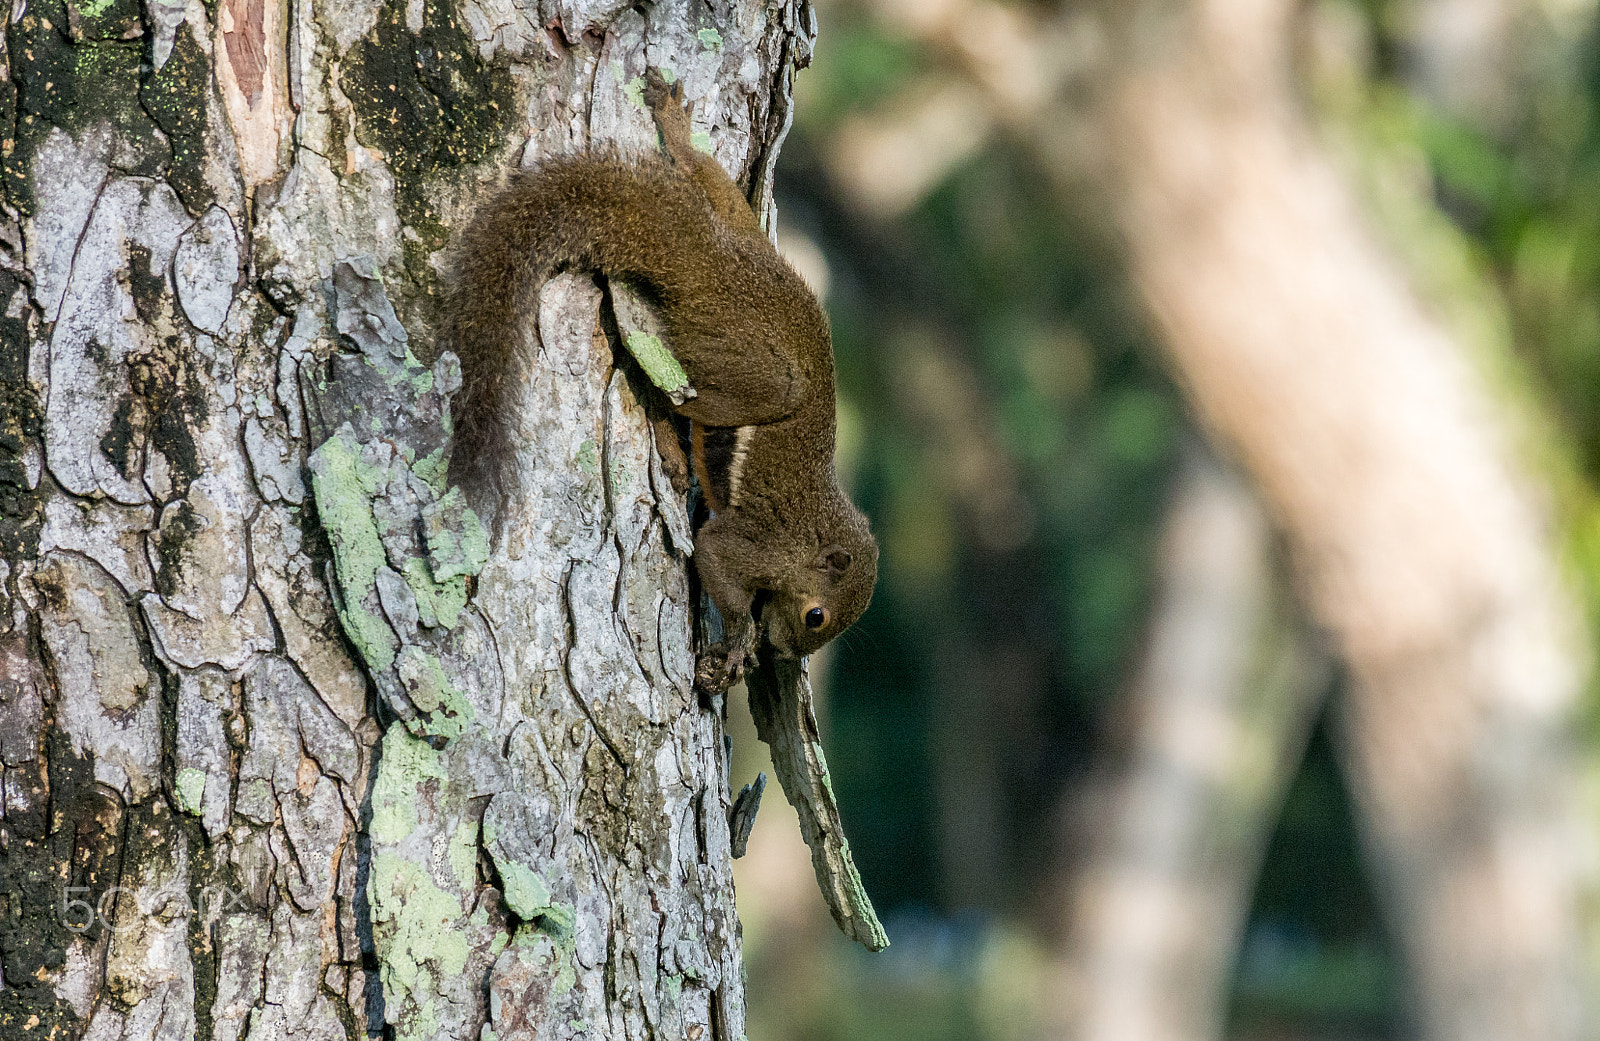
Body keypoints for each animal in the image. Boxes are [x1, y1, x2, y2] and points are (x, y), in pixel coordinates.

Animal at [441, 69, 877, 666]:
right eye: (817, 616)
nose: (785, 652)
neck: (814, 532)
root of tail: (710, 267)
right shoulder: (763, 544)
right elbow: (714, 553)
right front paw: (737, 643)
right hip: (749, 357)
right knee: (707, 396)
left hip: (741, 232)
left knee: (706, 178)